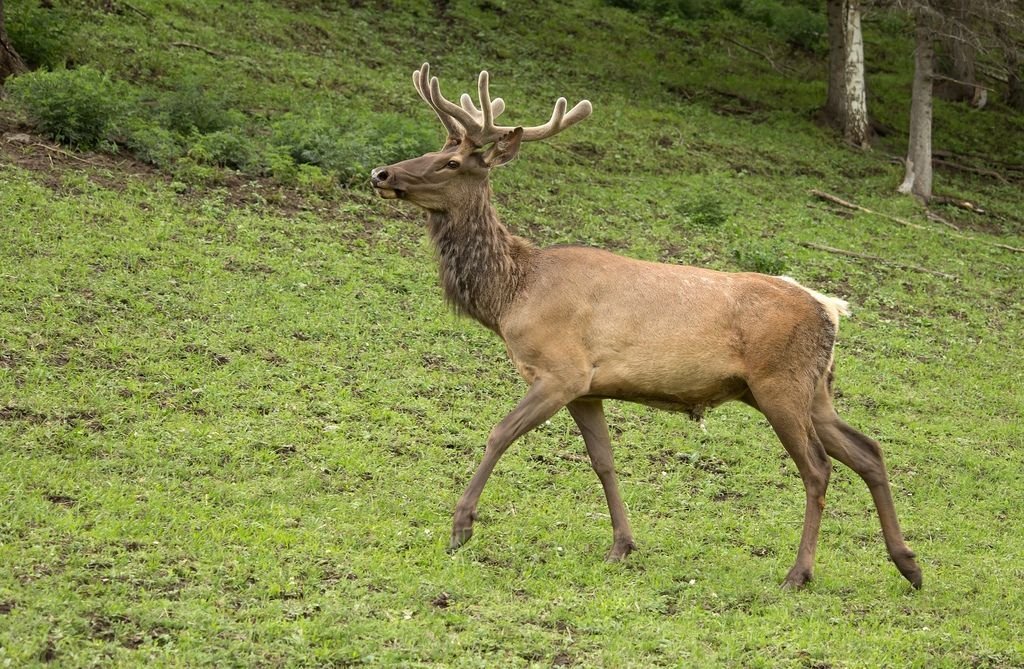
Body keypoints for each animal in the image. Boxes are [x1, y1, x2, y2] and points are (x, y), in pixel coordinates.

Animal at [372, 61, 925, 586]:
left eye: (451, 162)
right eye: (435, 148)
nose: (381, 173)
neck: (512, 294)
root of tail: (830, 307)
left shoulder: (561, 370)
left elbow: (499, 433)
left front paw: (460, 527)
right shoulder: (588, 388)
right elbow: (603, 461)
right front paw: (622, 545)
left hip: (780, 383)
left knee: (818, 468)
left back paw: (799, 573)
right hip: (814, 390)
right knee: (869, 450)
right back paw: (908, 564)